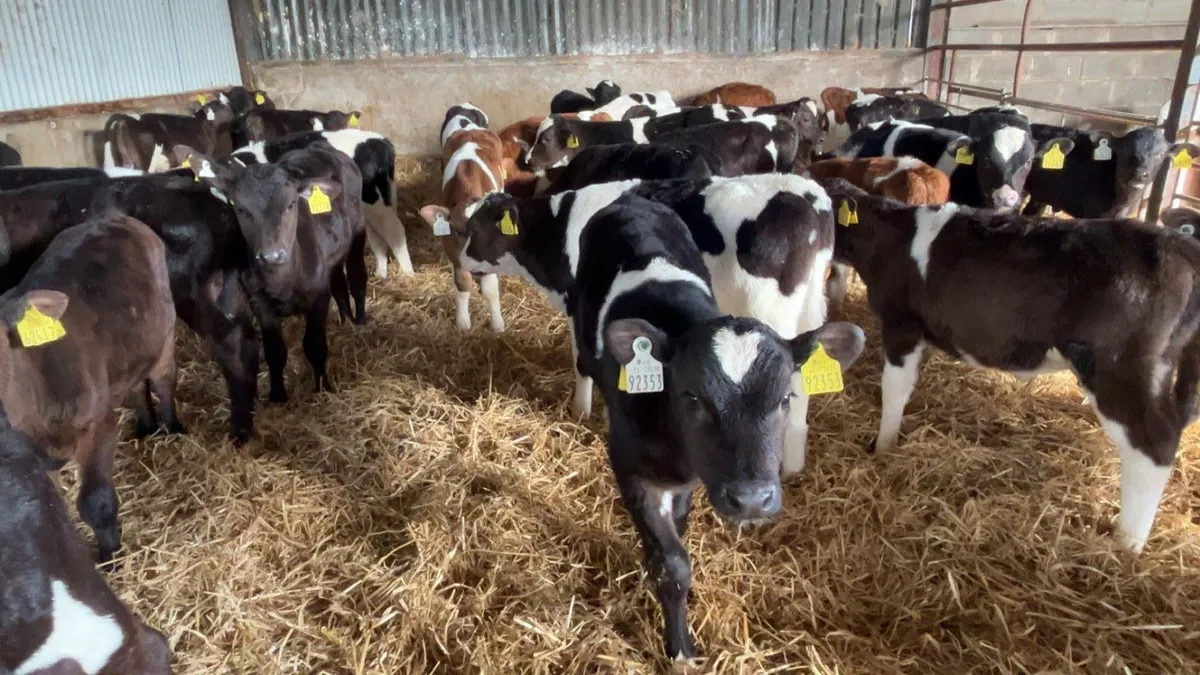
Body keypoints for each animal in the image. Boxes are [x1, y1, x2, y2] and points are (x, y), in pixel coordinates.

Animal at [0, 213, 178, 563]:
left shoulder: (99, 426)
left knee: (163, 381)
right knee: (134, 386)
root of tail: (116, 217)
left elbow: (96, 501)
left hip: (164, 334)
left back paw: (171, 427)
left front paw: (111, 558)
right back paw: (146, 426)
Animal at [181, 143, 365, 400]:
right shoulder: (260, 303)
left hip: (359, 231)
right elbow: (274, 350)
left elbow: (315, 345)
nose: (272, 255)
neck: (283, 281)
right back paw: (345, 318)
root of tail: (319, 146)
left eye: (290, 205)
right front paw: (278, 395)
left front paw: (322, 387)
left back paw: (360, 319)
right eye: (241, 209)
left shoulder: (319, 296)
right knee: (338, 280)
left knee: (357, 275)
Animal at [231, 129, 413, 279]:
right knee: (376, 235)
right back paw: (381, 274)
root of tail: (381, 141)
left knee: (394, 230)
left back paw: (408, 274)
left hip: (374, 200)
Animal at [445, 173, 841, 474]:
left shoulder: (579, 305)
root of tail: (811, 197)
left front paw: (580, 413)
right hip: (807, 313)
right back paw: (792, 466)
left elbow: (582, 363)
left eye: (475, 228)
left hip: (770, 311)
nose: (461, 260)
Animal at [823, 177, 1200, 554]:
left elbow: (893, 389)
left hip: (1119, 368)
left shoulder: (901, 324)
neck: (889, 239)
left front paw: (882, 447)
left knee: (1154, 445)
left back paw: (1126, 545)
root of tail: (1177, 243)